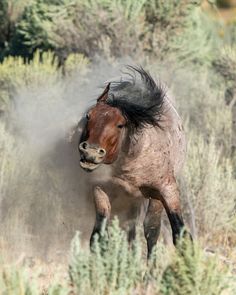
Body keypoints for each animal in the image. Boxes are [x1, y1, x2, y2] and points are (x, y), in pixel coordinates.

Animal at [76, 66, 191, 258]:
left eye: (120, 124)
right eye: (88, 116)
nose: (90, 153)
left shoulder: (167, 191)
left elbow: (174, 234)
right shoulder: (100, 189)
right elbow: (98, 236)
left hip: (151, 198)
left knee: (149, 230)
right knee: (130, 232)